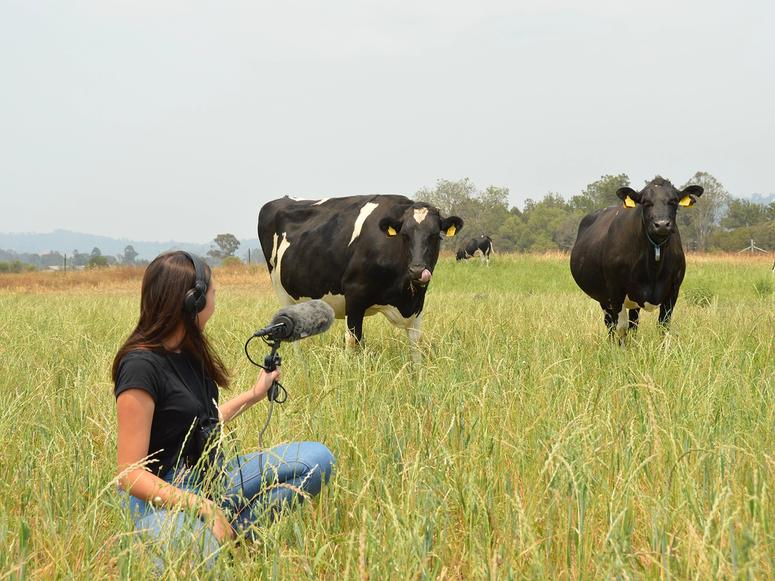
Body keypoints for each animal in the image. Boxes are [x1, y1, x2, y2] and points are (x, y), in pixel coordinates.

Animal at [257, 195, 463, 360]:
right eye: (404, 235)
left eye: (436, 236)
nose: (417, 270)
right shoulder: (354, 297)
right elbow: (352, 340)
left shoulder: (417, 305)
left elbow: (416, 343)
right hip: (282, 292)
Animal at [569, 177, 704, 340]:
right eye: (645, 202)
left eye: (673, 201)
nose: (662, 224)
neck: (653, 267)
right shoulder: (616, 291)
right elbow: (621, 328)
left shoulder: (673, 291)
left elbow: (663, 326)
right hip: (604, 298)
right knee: (610, 324)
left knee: (633, 323)